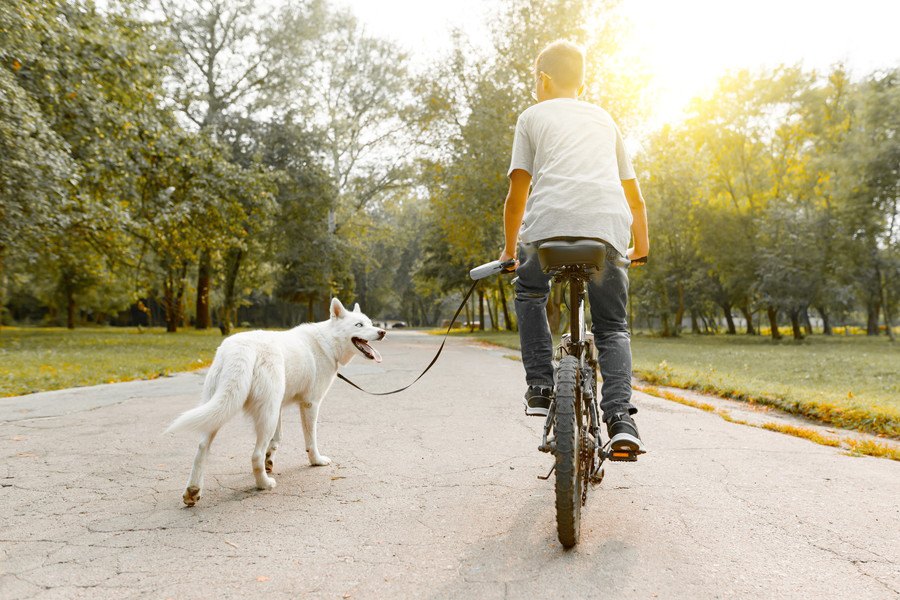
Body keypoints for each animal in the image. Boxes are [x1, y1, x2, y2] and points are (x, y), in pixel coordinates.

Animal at [167, 298, 384, 504]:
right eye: (358, 325)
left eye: (370, 323)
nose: (382, 332)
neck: (327, 342)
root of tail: (240, 349)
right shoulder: (310, 405)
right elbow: (311, 440)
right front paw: (316, 461)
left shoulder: (278, 407)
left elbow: (276, 440)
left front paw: (269, 462)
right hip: (264, 417)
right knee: (254, 455)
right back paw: (264, 484)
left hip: (226, 411)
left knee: (202, 448)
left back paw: (193, 491)